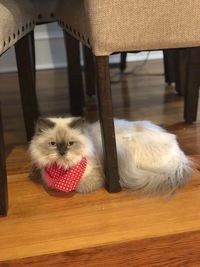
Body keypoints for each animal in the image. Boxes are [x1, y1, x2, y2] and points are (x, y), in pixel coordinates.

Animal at [28, 116, 191, 195]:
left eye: (70, 143)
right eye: (53, 144)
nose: (62, 152)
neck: (62, 168)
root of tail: (180, 157)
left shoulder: (94, 175)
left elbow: (81, 187)